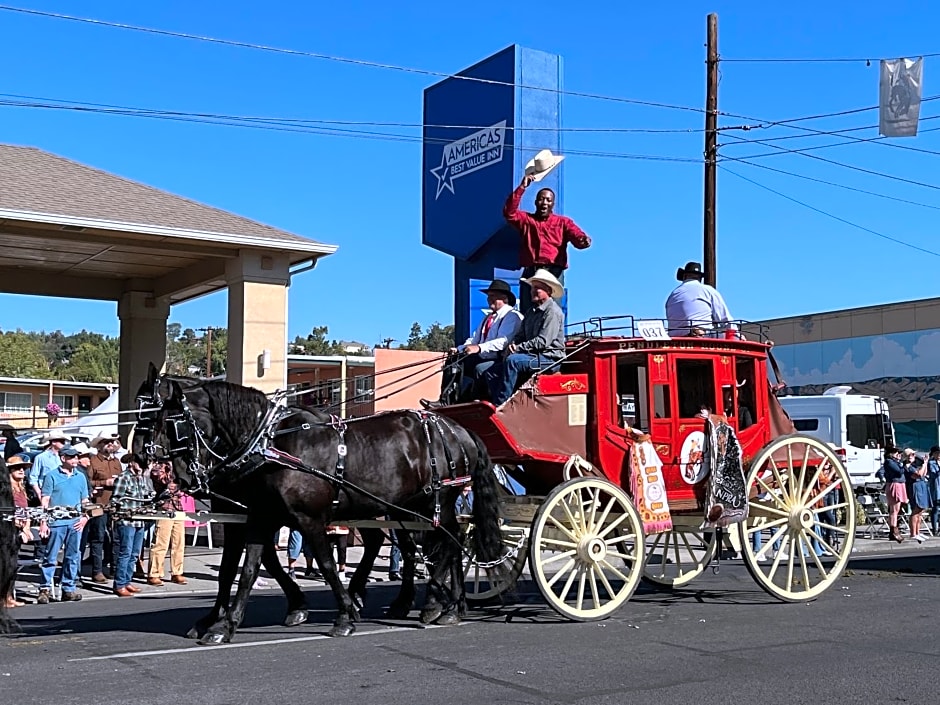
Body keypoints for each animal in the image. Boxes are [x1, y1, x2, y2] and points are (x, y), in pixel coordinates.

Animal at [134, 364, 506, 644]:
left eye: (166, 419)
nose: (138, 455)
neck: (271, 445)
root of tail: (457, 428)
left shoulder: (305, 517)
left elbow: (325, 564)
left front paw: (343, 615)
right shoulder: (256, 516)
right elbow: (245, 569)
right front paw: (224, 623)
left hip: (435, 501)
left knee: (447, 544)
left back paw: (438, 604)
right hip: (406, 507)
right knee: (431, 545)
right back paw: (440, 603)